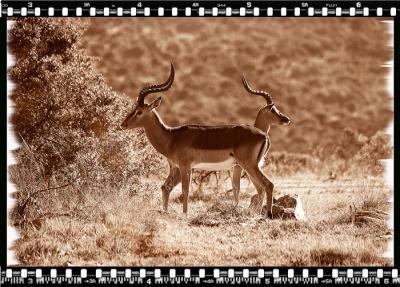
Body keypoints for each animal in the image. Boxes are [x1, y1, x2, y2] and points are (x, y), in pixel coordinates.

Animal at [121, 63, 288, 217]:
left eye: (139, 111)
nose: (123, 124)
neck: (171, 137)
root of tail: (263, 135)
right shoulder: (174, 167)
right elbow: (165, 187)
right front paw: (166, 211)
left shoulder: (185, 166)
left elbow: (185, 190)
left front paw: (185, 214)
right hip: (248, 166)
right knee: (260, 188)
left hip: (249, 165)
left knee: (268, 185)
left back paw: (268, 214)